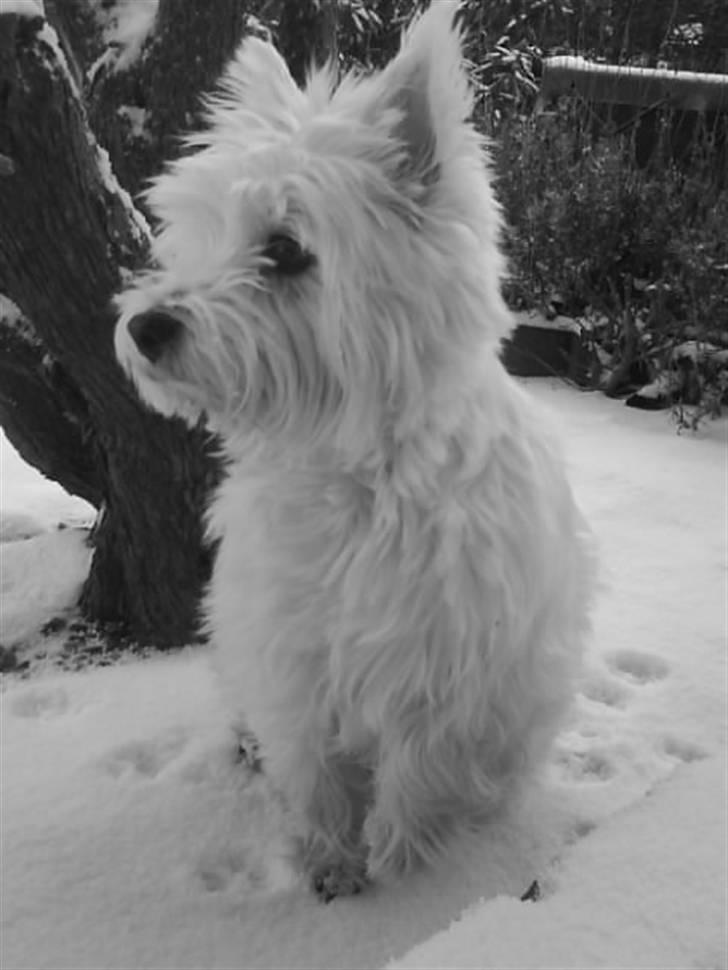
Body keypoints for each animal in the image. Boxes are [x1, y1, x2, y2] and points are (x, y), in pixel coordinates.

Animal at [116, 1, 596, 900]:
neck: (351, 477)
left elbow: (415, 772)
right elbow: (315, 770)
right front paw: (329, 863)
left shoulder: (440, 671)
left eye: (286, 249)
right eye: (202, 235)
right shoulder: (294, 657)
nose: (145, 327)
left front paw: (402, 869)